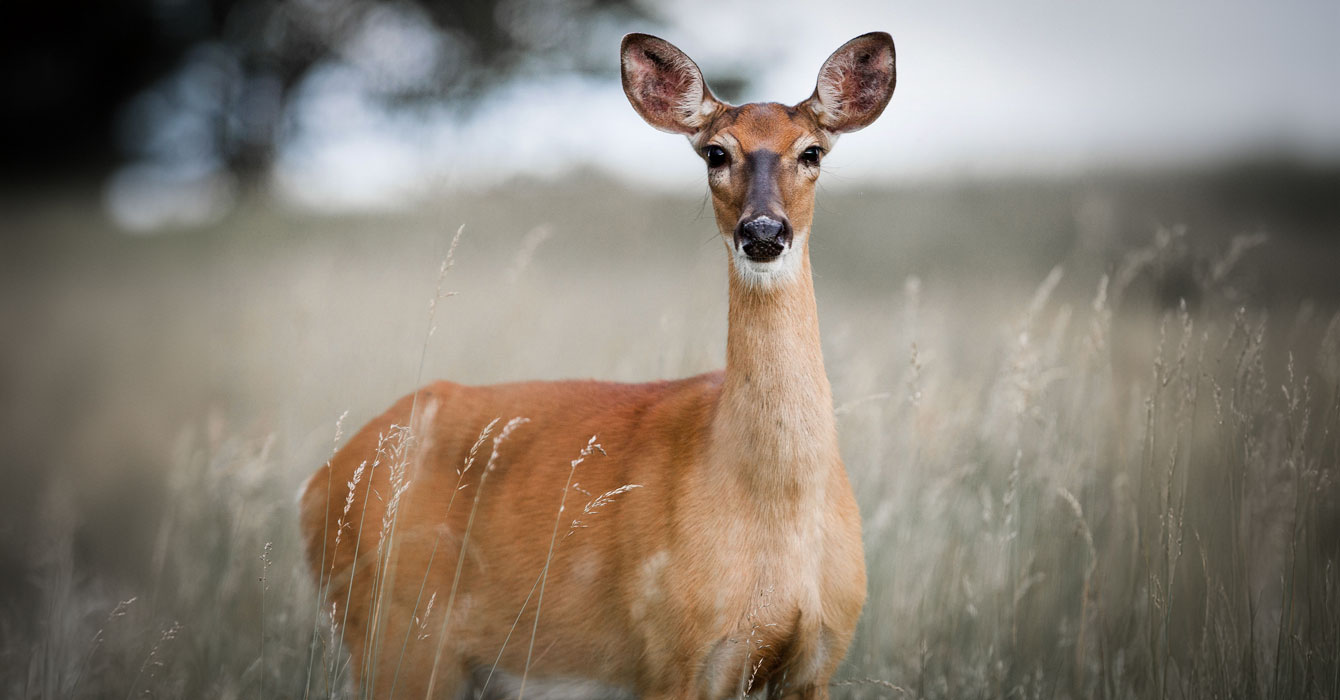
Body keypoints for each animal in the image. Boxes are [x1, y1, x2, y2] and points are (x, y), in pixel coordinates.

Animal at [298, 30, 895, 691]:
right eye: (715, 153)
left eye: (812, 151)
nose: (763, 232)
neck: (773, 504)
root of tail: (317, 485)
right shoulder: (673, 656)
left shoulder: (817, 661)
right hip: (396, 640)